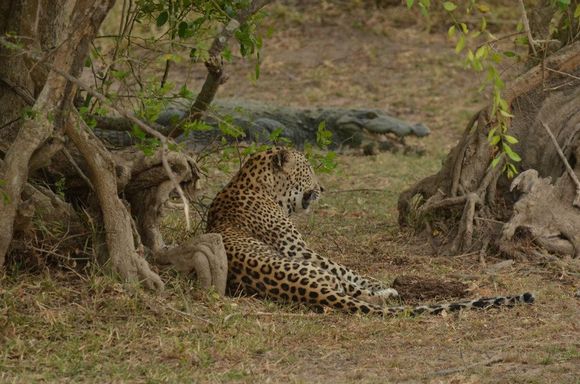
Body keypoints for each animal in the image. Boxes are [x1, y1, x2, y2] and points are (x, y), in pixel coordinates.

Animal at [207, 147, 536, 316]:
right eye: (308, 169)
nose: (322, 188)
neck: (256, 183)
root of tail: (314, 293)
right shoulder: (299, 249)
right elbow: (347, 269)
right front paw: (380, 282)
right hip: (312, 270)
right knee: (352, 290)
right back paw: (388, 293)